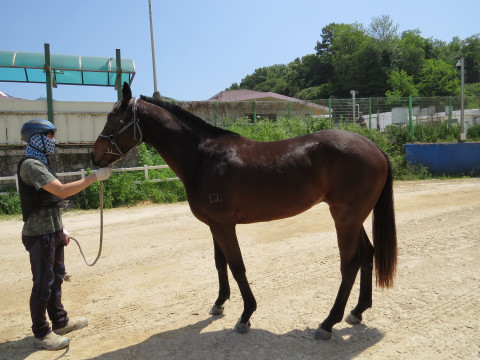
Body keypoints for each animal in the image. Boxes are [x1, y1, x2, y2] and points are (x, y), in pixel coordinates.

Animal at [91, 83, 398, 340]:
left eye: (113, 117)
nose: (94, 156)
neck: (203, 157)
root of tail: (375, 148)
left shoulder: (225, 225)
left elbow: (237, 266)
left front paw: (246, 314)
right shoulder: (214, 224)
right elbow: (220, 264)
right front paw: (219, 304)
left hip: (345, 218)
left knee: (350, 264)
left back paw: (327, 323)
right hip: (354, 218)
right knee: (367, 255)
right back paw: (357, 311)